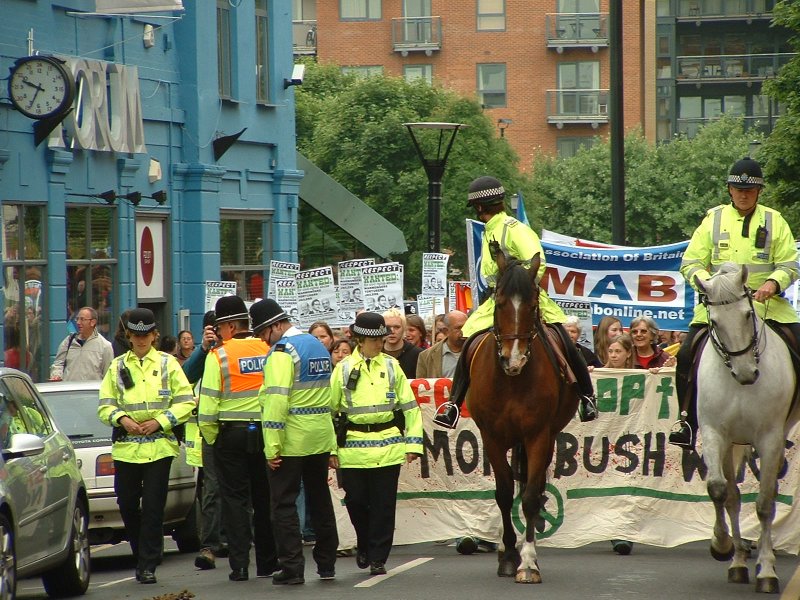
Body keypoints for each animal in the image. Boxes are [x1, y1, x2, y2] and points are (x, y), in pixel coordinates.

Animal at [466, 241, 580, 584]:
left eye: (531, 307)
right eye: (500, 304)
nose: (512, 360)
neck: (512, 381)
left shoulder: (538, 435)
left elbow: (529, 496)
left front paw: (528, 562)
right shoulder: (491, 437)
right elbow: (504, 493)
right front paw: (508, 555)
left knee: (536, 486)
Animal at [692, 264, 800, 596]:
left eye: (748, 314)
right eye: (714, 321)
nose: (746, 373)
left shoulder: (770, 439)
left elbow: (764, 504)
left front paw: (767, 571)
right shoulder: (714, 434)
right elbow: (719, 490)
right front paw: (722, 546)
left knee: (769, 494)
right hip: (732, 444)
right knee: (733, 497)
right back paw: (738, 563)